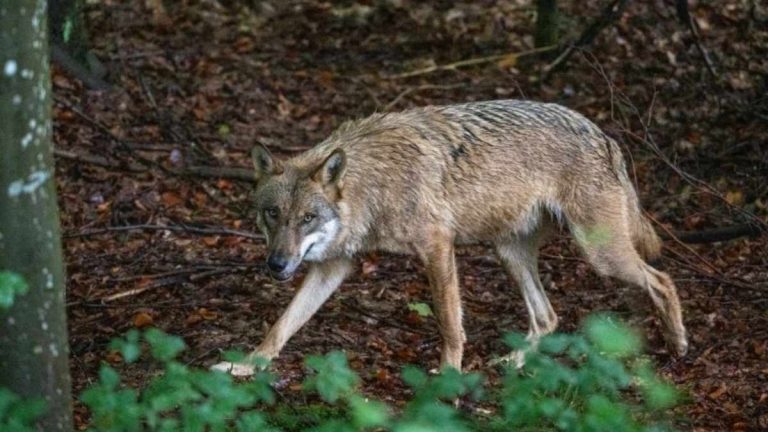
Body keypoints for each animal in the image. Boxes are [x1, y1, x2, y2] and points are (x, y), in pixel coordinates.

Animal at [212, 99, 688, 376]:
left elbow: (448, 322)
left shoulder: (437, 247)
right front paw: (247, 365)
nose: (276, 264)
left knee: (662, 280)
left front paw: (450, 376)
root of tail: (605, 136)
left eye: (308, 217)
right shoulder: (334, 267)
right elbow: (283, 323)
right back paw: (514, 361)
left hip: (598, 253)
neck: (373, 184)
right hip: (509, 253)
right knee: (548, 317)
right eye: (273, 215)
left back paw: (677, 343)